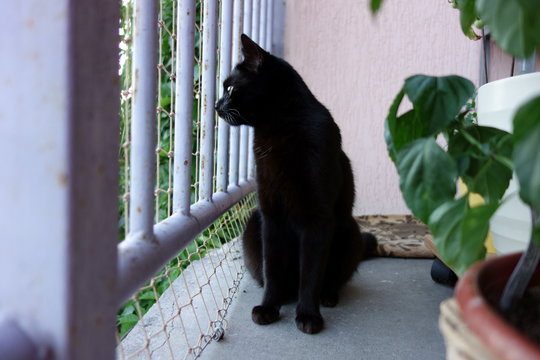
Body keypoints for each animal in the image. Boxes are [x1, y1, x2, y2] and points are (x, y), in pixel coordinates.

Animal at [215, 34, 376, 334]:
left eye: (230, 88)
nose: (217, 106)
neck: (277, 130)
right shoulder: (271, 215)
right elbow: (273, 268)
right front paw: (268, 307)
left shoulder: (317, 219)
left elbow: (310, 273)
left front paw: (309, 316)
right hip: (253, 224)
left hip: (350, 231)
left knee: (332, 278)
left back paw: (327, 297)